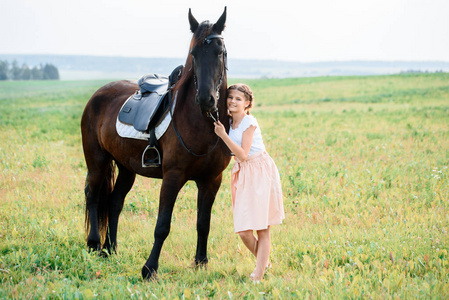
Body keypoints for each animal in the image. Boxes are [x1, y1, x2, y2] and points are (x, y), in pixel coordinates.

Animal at [79, 7, 231, 278]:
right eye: (194, 53)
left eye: (220, 52)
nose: (206, 100)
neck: (201, 124)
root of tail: (98, 94)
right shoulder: (173, 177)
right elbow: (162, 225)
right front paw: (149, 268)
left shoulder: (212, 180)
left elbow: (203, 223)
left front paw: (201, 261)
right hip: (97, 161)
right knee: (94, 196)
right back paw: (95, 244)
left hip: (126, 167)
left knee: (115, 202)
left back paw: (110, 249)